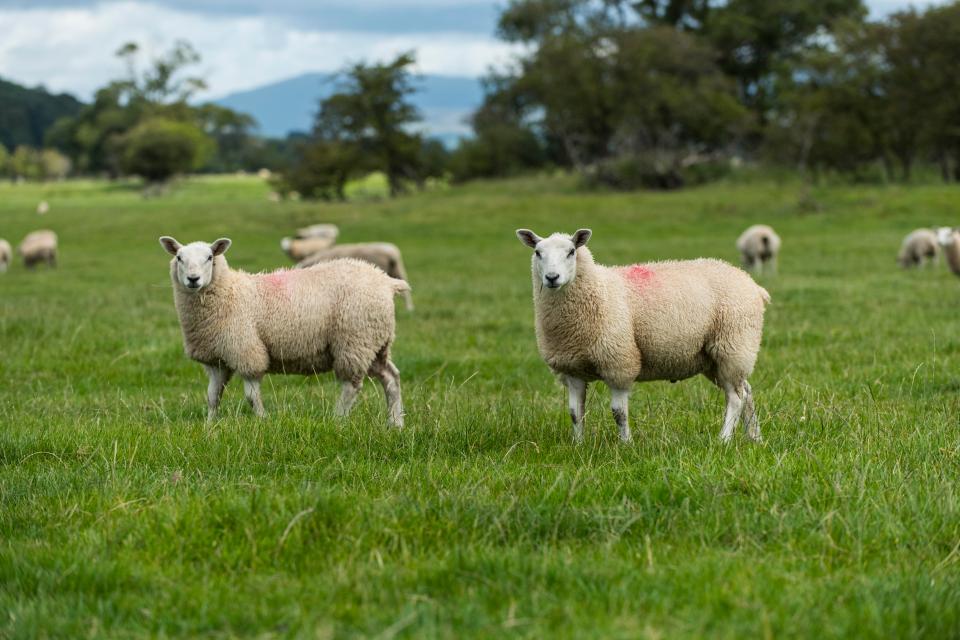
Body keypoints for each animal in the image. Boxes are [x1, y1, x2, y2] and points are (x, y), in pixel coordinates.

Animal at [158, 235, 412, 424]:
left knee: (352, 386)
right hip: (376, 342)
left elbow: (251, 396)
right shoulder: (217, 359)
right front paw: (210, 426)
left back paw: (337, 419)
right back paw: (395, 423)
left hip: (355, 340)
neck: (228, 292)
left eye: (210, 257)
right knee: (391, 377)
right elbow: (212, 397)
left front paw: (262, 421)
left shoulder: (247, 351)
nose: (193, 279)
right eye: (179, 257)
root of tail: (386, 281)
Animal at [512, 228, 768, 442]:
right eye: (537, 253)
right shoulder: (571, 369)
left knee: (735, 398)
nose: (552, 277)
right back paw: (754, 437)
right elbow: (575, 414)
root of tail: (752, 284)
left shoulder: (619, 363)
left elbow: (619, 413)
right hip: (714, 359)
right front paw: (578, 445)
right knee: (746, 391)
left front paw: (626, 444)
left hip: (733, 346)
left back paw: (723, 439)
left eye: (571, 252)